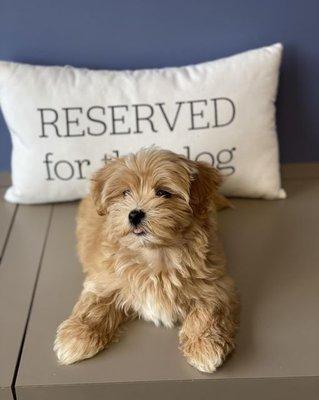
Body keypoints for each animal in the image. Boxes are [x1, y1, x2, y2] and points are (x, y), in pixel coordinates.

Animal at [55, 148, 239, 374]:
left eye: (163, 193)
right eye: (125, 193)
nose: (134, 214)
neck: (155, 254)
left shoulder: (216, 282)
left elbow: (209, 311)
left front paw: (204, 345)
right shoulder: (103, 280)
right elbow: (93, 306)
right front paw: (76, 337)